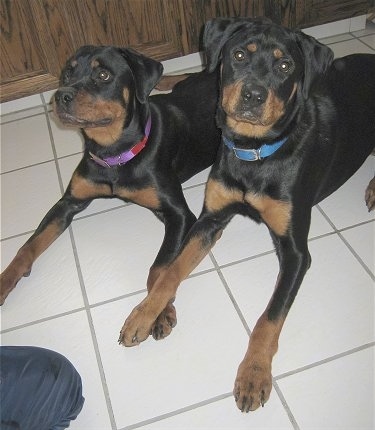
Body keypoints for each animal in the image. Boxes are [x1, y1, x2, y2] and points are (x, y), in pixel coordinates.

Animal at [0, 46, 222, 336]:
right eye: (67, 72)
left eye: (103, 75)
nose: (60, 96)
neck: (113, 153)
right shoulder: (68, 202)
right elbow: (27, 247)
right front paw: (4, 281)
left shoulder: (179, 214)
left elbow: (160, 268)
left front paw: (159, 313)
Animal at [119, 18, 375, 412]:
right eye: (239, 55)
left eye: (285, 65)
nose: (254, 95)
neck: (255, 151)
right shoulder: (209, 219)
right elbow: (170, 273)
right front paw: (144, 315)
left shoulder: (296, 252)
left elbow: (269, 318)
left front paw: (254, 374)